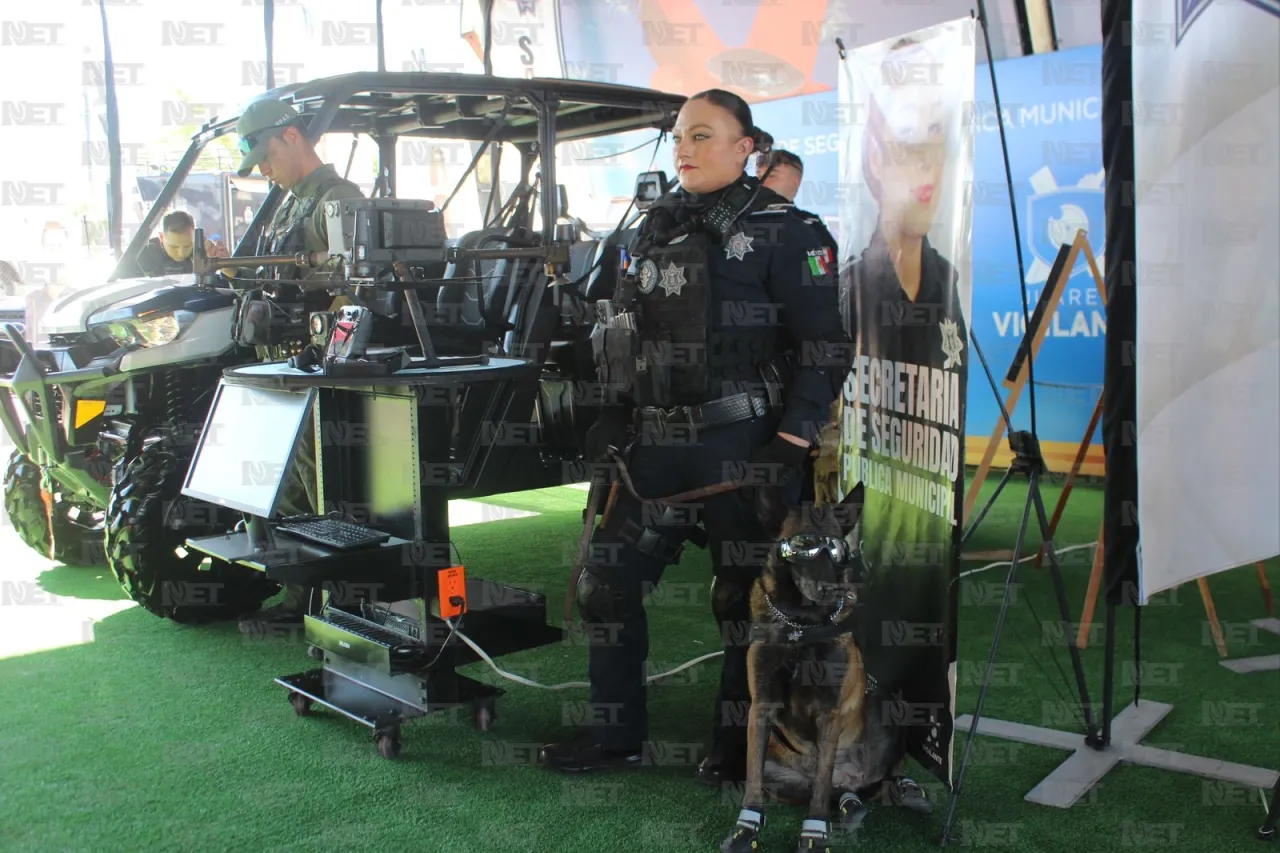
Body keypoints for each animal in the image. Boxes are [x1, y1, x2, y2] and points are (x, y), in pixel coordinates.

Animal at [721, 481, 901, 845]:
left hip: (885, 709)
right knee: (833, 788)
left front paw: (815, 832)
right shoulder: (760, 707)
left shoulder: (830, 713)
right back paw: (848, 805)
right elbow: (753, 780)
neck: (801, 627)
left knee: (853, 783)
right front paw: (747, 828)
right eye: (803, 545)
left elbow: (821, 782)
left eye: (836, 550)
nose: (830, 590)